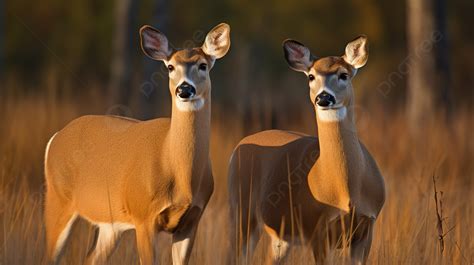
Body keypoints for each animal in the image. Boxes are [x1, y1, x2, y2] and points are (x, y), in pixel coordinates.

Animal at [43, 23, 232, 264]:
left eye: (203, 65)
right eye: (170, 67)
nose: (184, 89)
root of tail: (55, 137)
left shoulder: (191, 221)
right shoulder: (144, 217)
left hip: (109, 224)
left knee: (90, 258)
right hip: (58, 198)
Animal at [228, 35, 386, 264]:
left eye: (343, 74)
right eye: (311, 76)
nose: (324, 97)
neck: (345, 190)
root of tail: (238, 148)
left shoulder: (367, 228)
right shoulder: (317, 231)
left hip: (280, 235)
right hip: (240, 211)